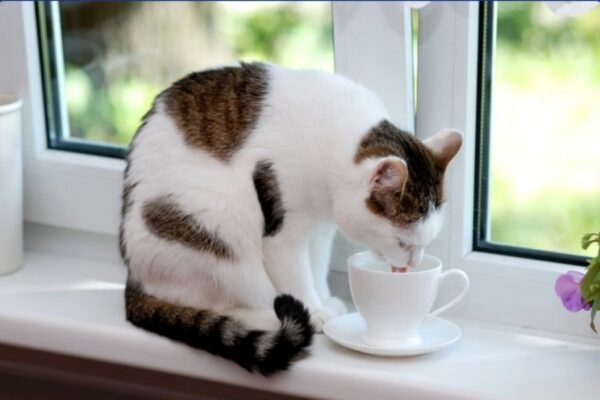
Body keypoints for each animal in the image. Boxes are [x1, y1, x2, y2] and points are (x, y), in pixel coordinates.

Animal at [120, 62, 462, 375]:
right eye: (403, 242)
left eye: (425, 243)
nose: (414, 264)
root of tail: (133, 279)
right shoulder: (284, 231)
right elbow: (297, 275)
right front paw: (313, 311)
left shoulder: (320, 230)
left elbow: (317, 267)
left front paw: (324, 301)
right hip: (215, 223)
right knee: (215, 301)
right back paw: (263, 316)